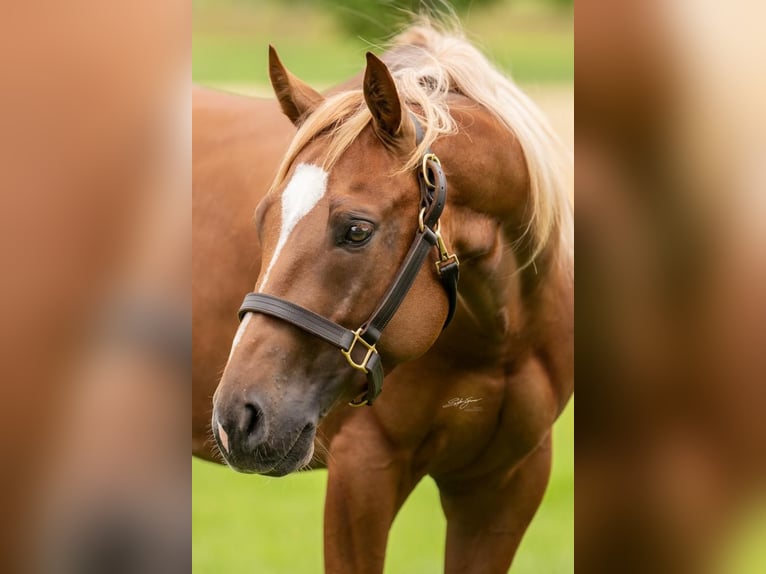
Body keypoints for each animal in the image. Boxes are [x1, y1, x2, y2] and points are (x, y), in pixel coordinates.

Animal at [195, 20, 572, 572]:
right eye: (262, 222)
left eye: (356, 230)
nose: (237, 418)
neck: (499, 341)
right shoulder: (363, 471)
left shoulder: (506, 485)